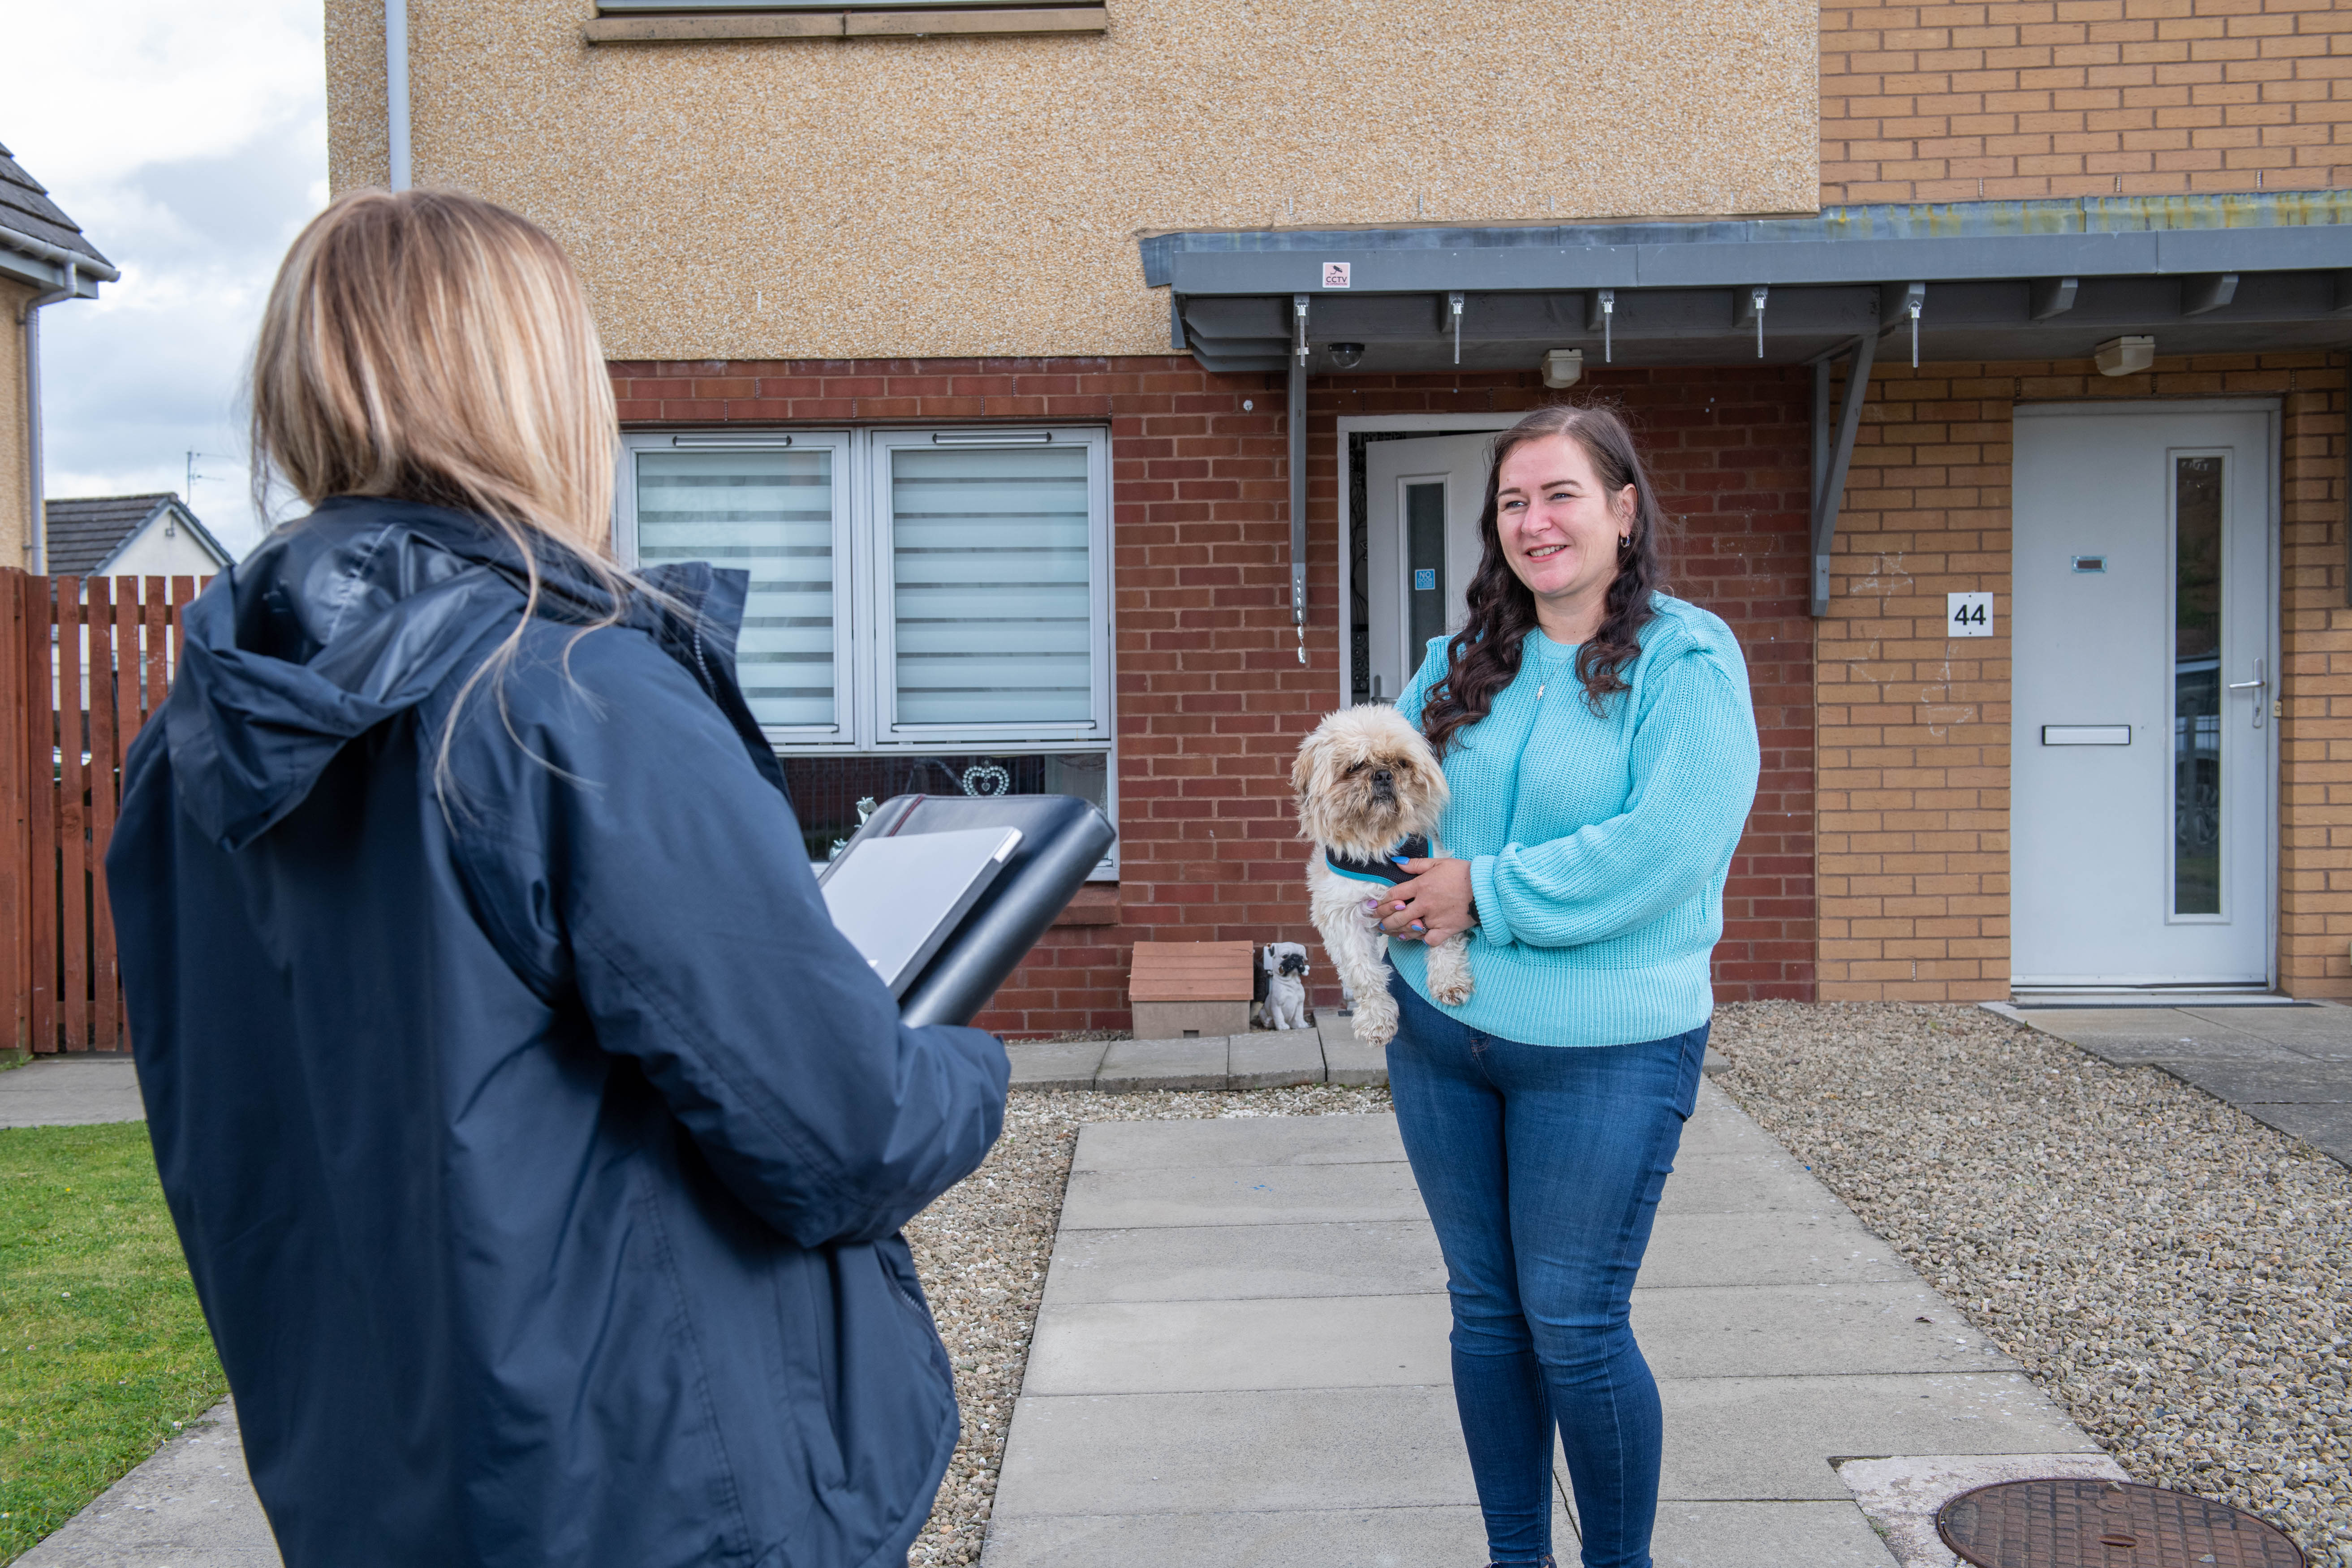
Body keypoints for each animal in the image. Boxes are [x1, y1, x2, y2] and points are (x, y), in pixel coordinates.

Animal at [1261, 945, 1317, 1030]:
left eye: (1302, 957)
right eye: (1285, 956)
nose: (1296, 957)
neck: (1292, 982)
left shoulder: (1300, 1004)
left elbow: (1299, 1015)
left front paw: (1300, 1024)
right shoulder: (1277, 1005)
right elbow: (1279, 1016)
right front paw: (1282, 1026)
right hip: (1262, 1012)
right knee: (1267, 1019)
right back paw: (1269, 1022)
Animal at [1289, 705, 1468, 1048]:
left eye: (1402, 763)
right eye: (1355, 766)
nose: (1384, 775)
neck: (1379, 847)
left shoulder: (1433, 891)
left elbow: (1446, 941)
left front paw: (1449, 980)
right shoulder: (1344, 917)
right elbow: (1364, 974)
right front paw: (1376, 1021)